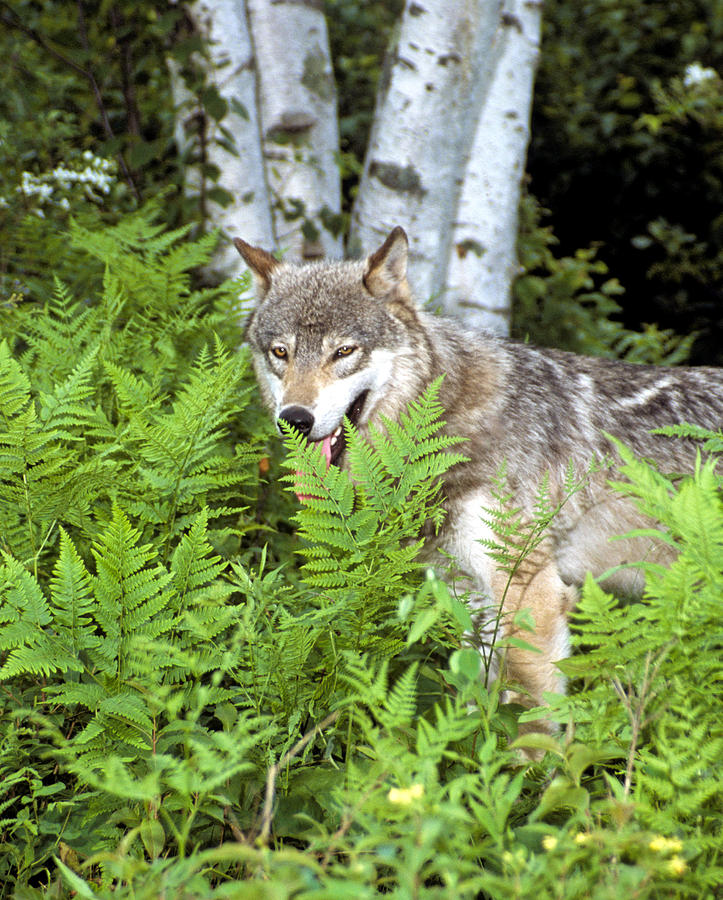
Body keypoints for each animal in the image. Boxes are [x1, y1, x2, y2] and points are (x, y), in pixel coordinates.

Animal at [235, 229, 723, 720]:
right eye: (281, 353)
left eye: (343, 351)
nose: (294, 419)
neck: (443, 417)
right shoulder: (469, 598)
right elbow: (474, 710)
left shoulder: (532, 599)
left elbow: (528, 720)